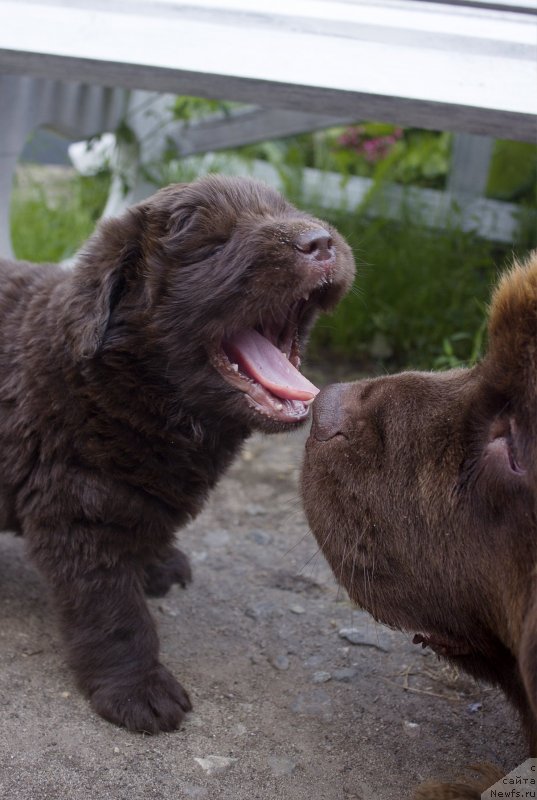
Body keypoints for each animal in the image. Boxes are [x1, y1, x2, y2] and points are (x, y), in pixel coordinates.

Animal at [1, 173, 356, 732]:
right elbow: (116, 614)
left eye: (285, 211)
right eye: (214, 245)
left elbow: (149, 527)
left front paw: (155, 565)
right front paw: (137, 691)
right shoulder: (79, 511)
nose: (319, 242)